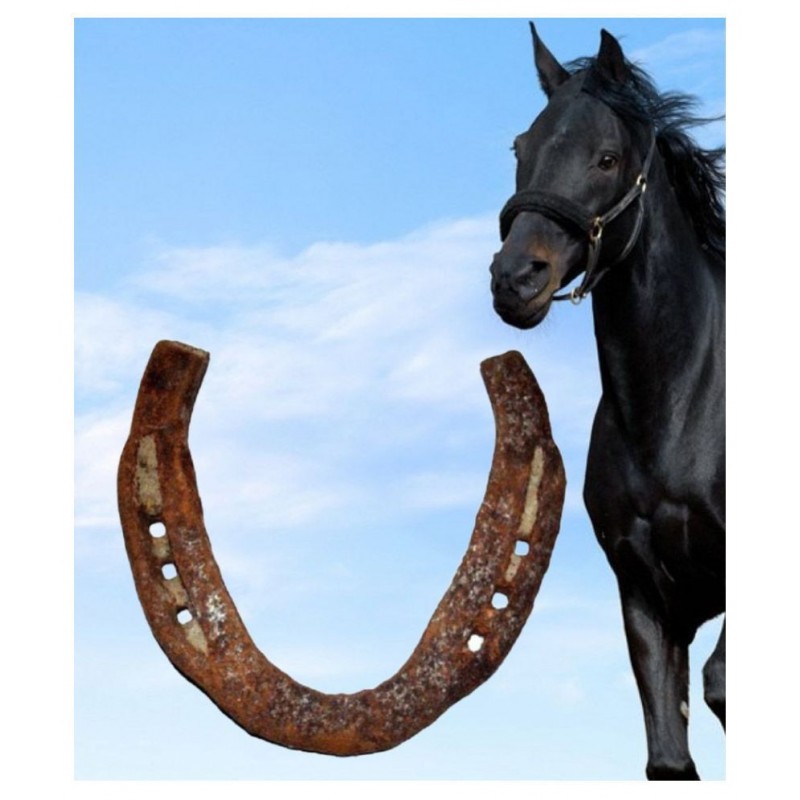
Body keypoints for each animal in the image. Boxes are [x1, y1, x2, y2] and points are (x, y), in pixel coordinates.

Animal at [489, 25, 725, 780]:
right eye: (520, 148)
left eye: (607, 157)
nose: (515, 279)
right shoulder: (646, 599)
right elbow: (668, 758)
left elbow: (721, 682)